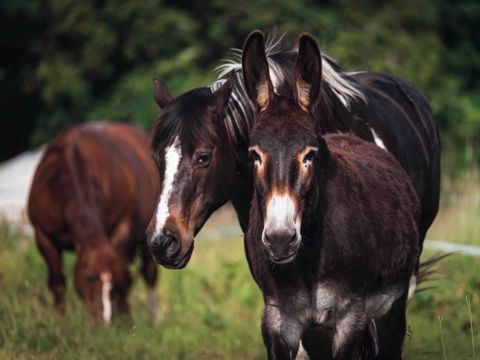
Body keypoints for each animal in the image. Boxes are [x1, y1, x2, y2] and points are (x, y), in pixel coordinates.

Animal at [28, 121, 159, 324]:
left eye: (112, 281)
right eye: (89, 277)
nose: (102, 320)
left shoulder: (123, 229)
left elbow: (124, 274)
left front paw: (126, 321)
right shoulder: (43, 236)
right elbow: (57, 282)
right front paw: (60, 322)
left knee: (149, 273)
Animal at [244, 31, 420, 360]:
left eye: (309, 155)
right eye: (255, 155)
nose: (280, 239)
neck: (307, 264)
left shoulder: (351, 316)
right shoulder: (278, 318)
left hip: (393, 304)